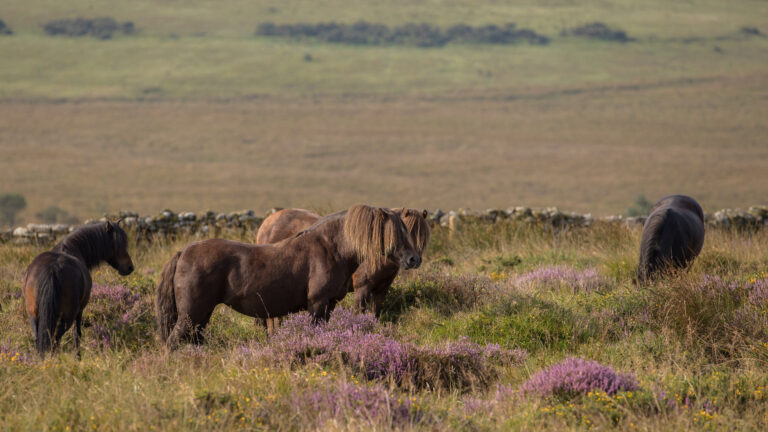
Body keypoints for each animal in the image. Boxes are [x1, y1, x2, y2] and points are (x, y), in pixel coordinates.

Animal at [22, 221, 134, 356]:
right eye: (118, 244)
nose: (130, 267)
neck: (73, 248)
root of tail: (53, 268)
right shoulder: (79, 311)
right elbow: (77, 334)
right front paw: (78, 356)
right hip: (68, 316)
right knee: (55, 338)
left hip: (33, 314)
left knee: (39, 339)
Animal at [256, 207, 429, 318]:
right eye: (404, 233)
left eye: (423, 235)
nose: (414, 260)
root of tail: (267, 222)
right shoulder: (362, 289)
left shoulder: (381, 291)